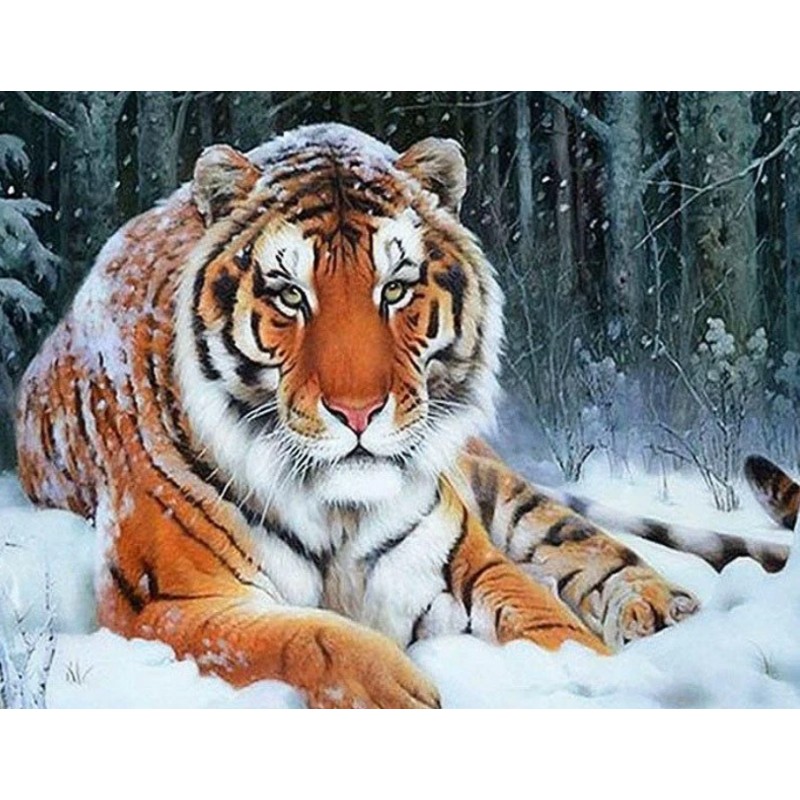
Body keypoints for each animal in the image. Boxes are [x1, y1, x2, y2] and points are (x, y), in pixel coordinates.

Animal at [15, 122, 776, 708]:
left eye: (396, 288)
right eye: (290, 295)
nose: (358, 412)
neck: (334, 510)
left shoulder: (456, 561)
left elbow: (550, 620)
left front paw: (595, 676)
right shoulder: (170, 601)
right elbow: (308, 638)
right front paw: (403, 692)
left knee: (583, 542)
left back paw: (661, 611)